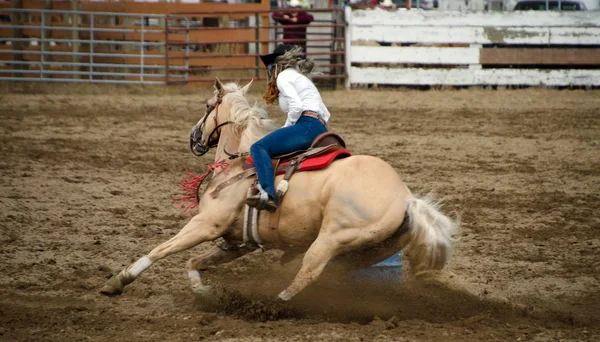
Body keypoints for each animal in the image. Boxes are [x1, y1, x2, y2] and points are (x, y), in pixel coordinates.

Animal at [102, 79, 460, 300]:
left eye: (206, 105)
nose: (194, 138)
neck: (239, 163)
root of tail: (407, 197)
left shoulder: (206, 224)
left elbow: (162, 250)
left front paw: (118, 281)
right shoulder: (237, 243)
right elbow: (195, 262)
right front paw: (203, 293)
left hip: (333, 237)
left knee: (308, 273)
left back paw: (272, 304)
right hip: (367, 250)